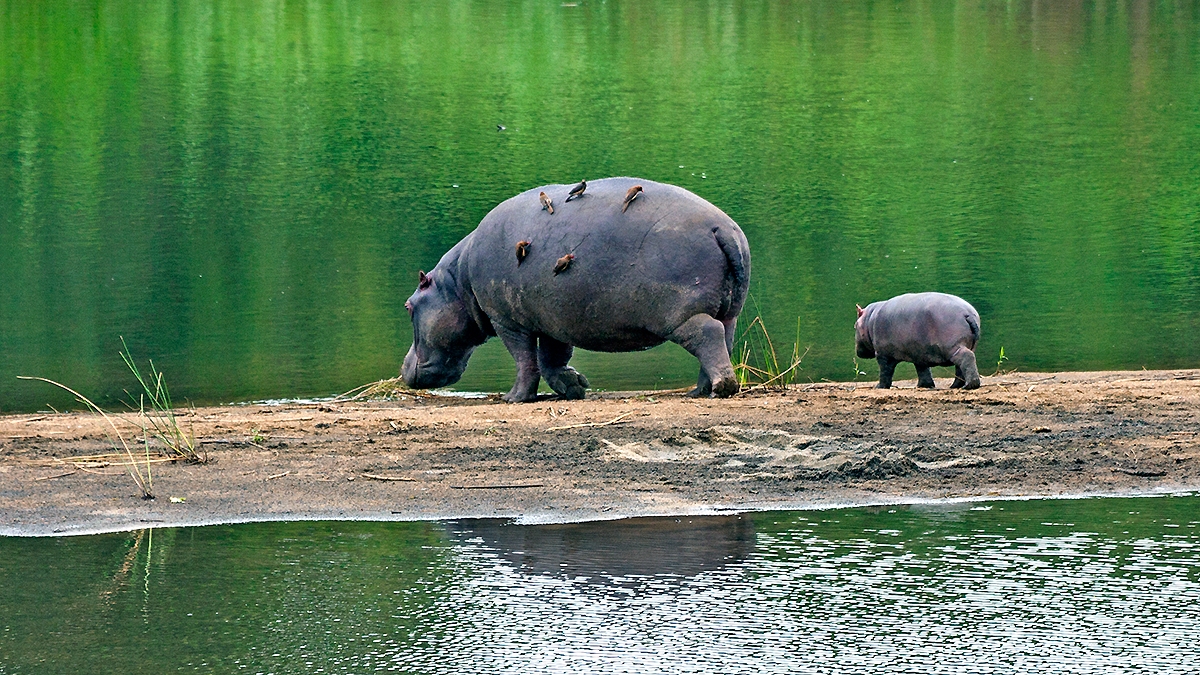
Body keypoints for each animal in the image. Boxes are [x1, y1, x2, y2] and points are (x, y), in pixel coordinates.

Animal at [401, 177, 751, 402]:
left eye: (408, 305)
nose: (404, 369)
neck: (456, 283)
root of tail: (722, 229)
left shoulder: (507, 320)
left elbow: (525, 360)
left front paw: (513, 398)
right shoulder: (552, 320)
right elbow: (552, 358)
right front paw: (575, 387)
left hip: (680, 314)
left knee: (706, 334)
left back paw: (720, 388)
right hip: (730, 311)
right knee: (723, 339)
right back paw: (702, 391)